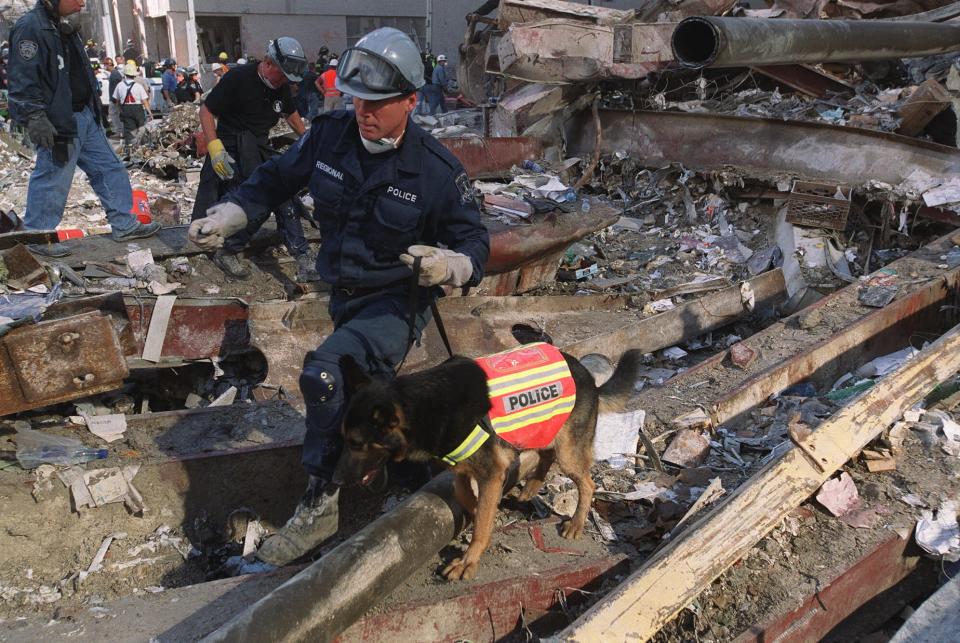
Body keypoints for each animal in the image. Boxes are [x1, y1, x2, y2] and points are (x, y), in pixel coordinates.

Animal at [334, 350, 640, 580]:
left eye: (356, 443)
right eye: (344, 439)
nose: (336, 480)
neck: (429, 406)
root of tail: (588, 376)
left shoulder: (491, 473)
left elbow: (481, 520)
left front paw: (468, 560)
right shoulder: (463, 469)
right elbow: (468, 497)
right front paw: (481, 515)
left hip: (568, 451)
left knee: (586, 482)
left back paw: (575, 522)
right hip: (544, 428)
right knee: (546, 455)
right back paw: (531, 488)